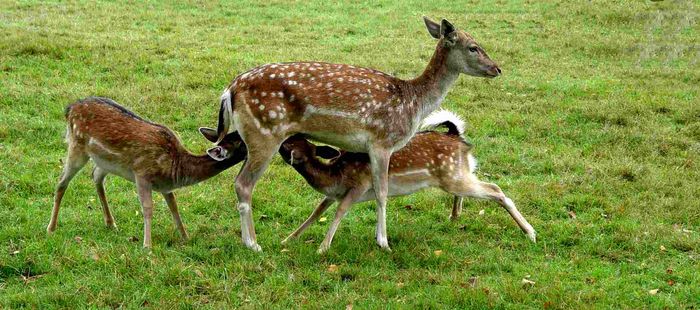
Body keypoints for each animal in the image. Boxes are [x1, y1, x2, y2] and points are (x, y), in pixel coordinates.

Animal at [211, 16, 500, 252]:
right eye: (473, 47)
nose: (497, 68)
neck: (414, 104)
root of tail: (229, 90)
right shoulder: (382, 141)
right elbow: (382, 191)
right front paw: (383, 242)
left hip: (251, 136)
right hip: (265, 133)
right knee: (243, 184)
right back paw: (253, 244)